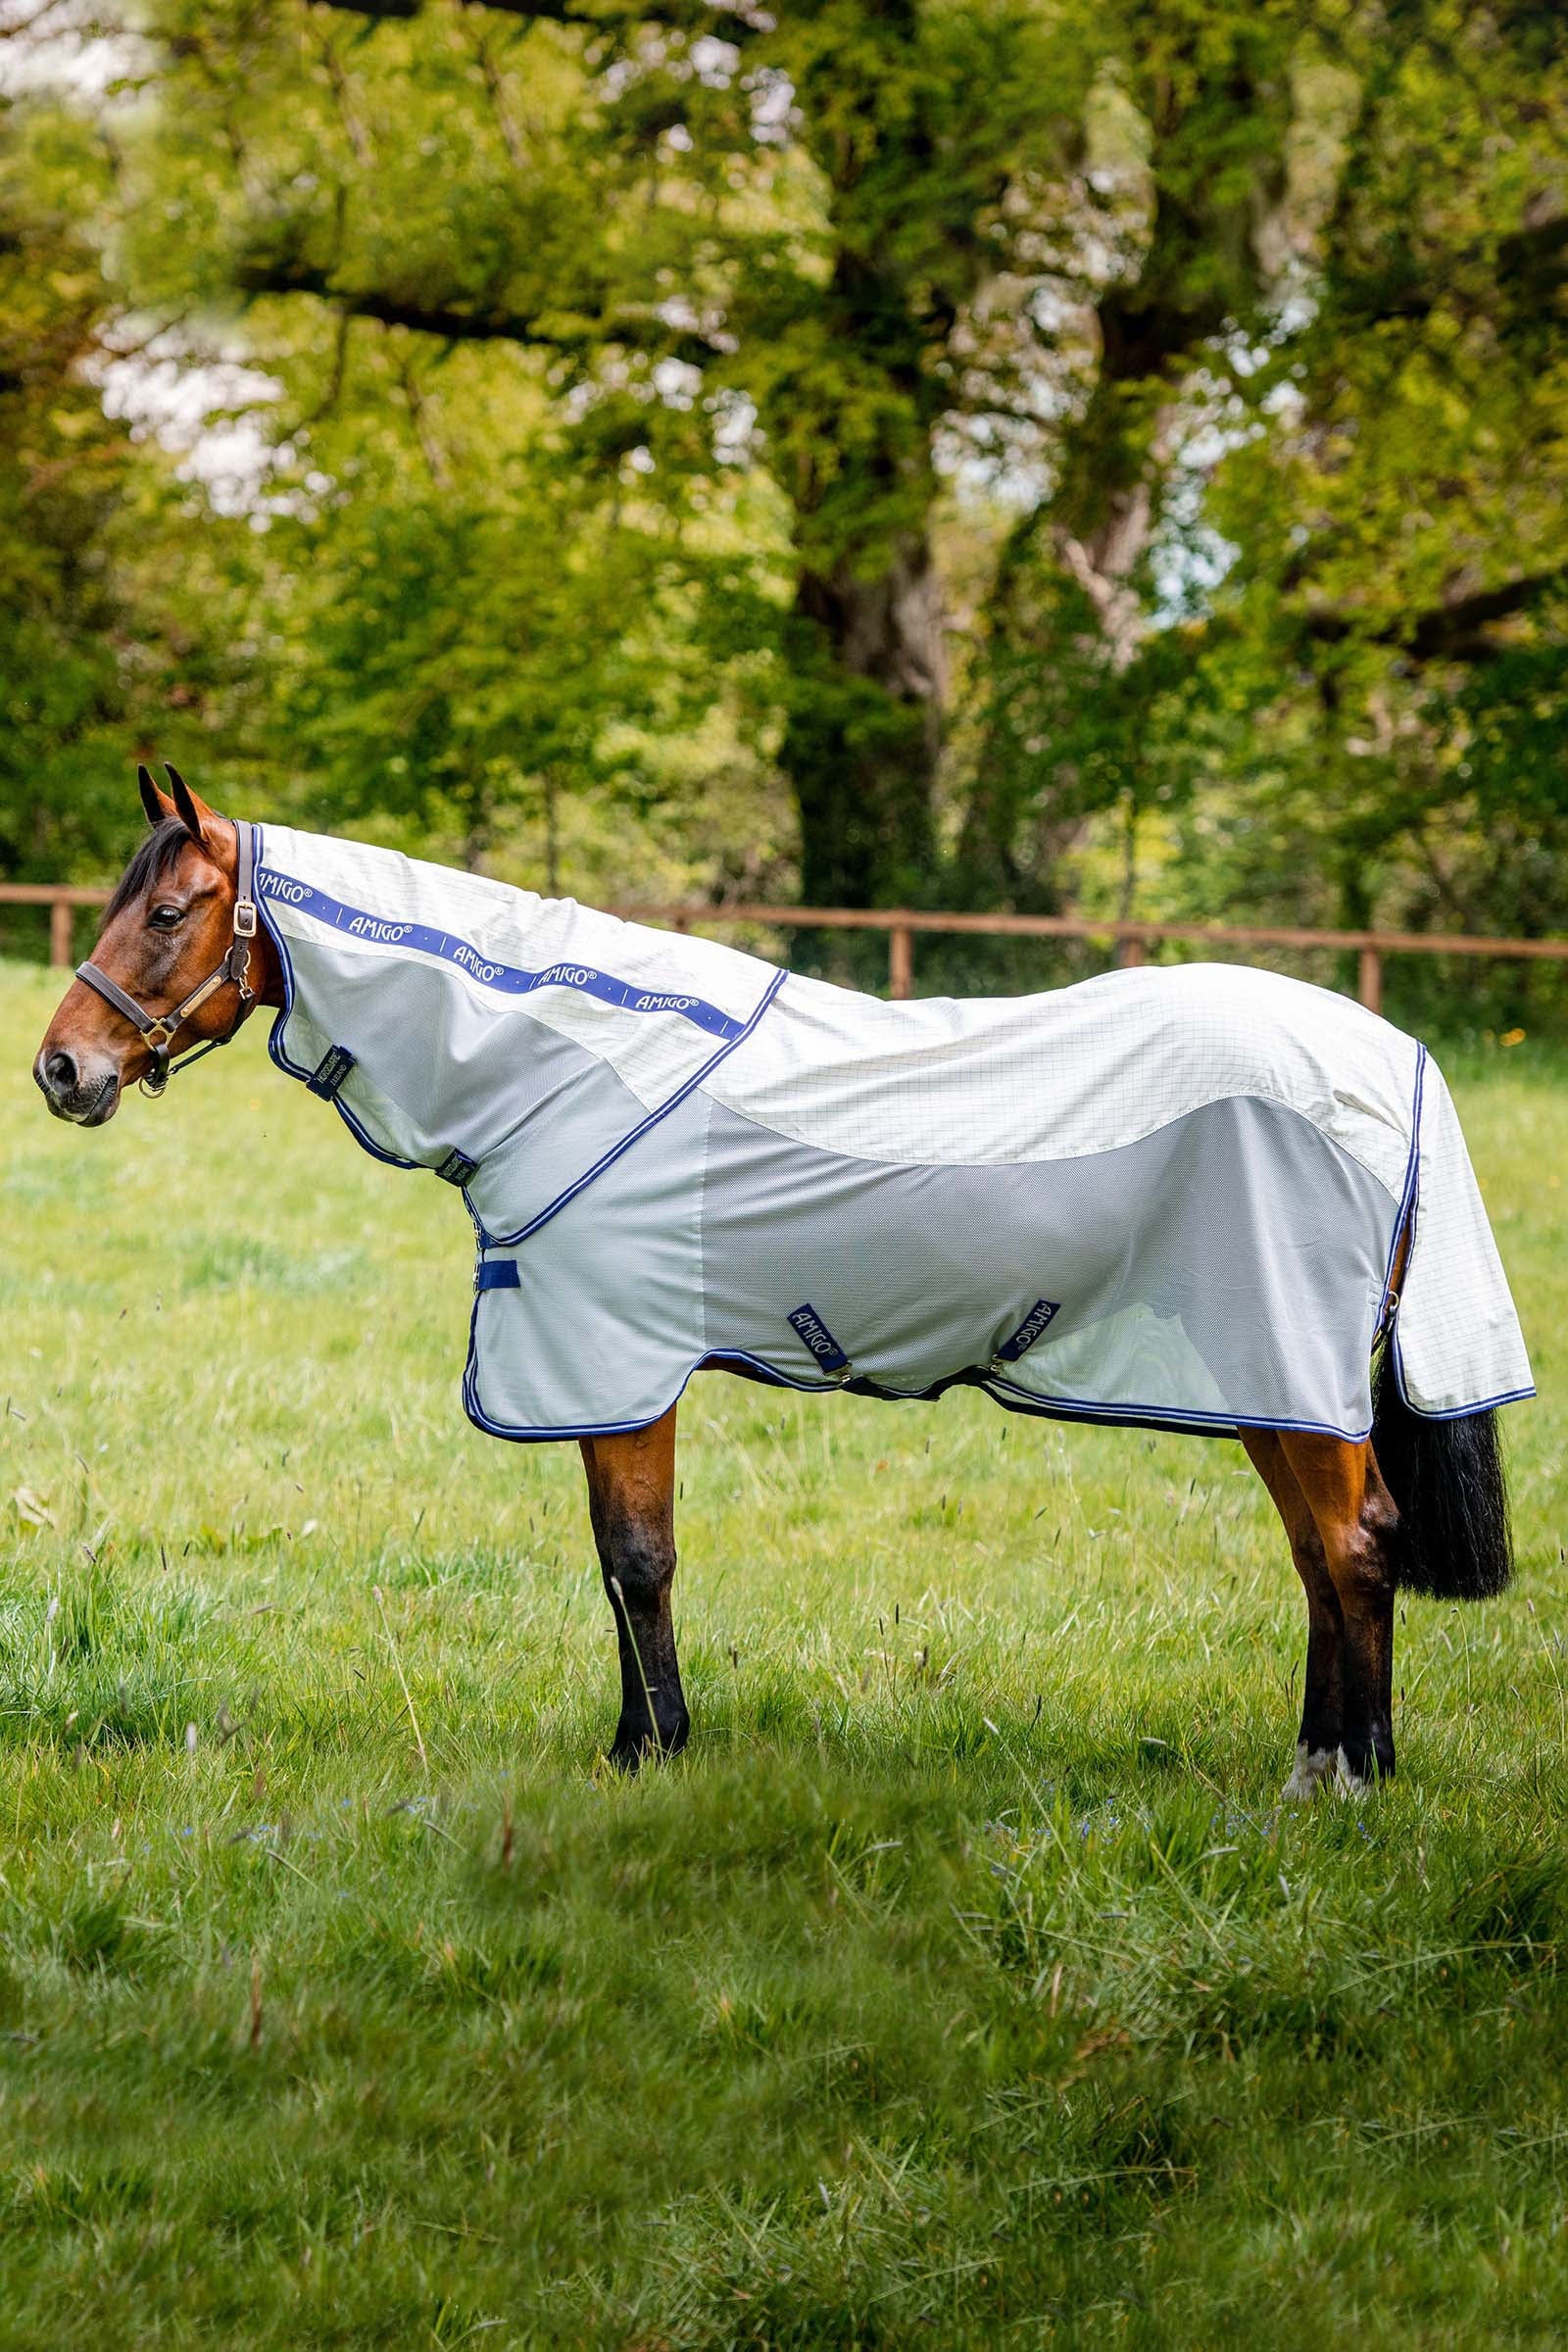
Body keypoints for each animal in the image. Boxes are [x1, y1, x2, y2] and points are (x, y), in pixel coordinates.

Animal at [34, 768, 1528, 1793]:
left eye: (166, 910)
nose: (60, 1069)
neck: (566, 1062)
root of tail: (1393, 1057)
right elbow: (618, 1564)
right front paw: (639, 1743)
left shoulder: (616, 1363)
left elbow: (638, 1560)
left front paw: (652, 1752)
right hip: (1268, 1377)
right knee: (1322, 1556)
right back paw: (1319, 1762)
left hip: (1284, 1371)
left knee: (1355, 1546)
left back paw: (1350, 1783)